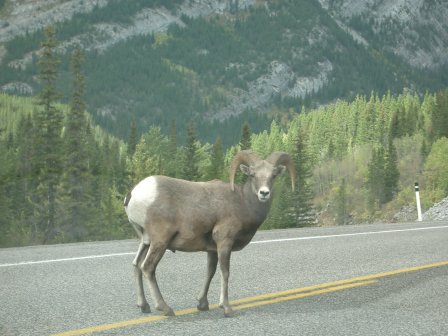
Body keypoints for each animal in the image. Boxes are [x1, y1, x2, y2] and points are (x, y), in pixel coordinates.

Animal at [124, 151, 296, 316]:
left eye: (273, 175)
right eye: (253, 175)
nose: (264, 193)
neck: (243, 202)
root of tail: (134, 194)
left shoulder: (212, 249)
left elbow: (210, 272)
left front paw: (202, 304)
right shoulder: (224, 242)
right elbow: (225, 272)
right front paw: (226, 308)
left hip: (146, 241)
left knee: (136, 264)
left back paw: (144, 306)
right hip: (160, 241)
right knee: (148, 267)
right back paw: (166, 309)